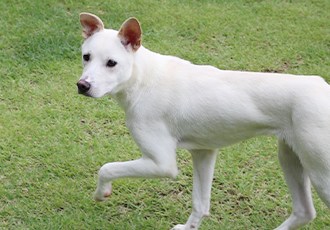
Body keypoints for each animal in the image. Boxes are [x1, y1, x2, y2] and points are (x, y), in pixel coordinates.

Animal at [77, 13, 330, 230]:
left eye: (111, 63)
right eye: (86, 57)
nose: (82, 85)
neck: (142, 78)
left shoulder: (162, 164)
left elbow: (106, 168)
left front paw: (101, 193)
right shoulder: (203, 152)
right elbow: (200, 203)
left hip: (320, 172)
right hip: (290, 156)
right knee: (304, 212)